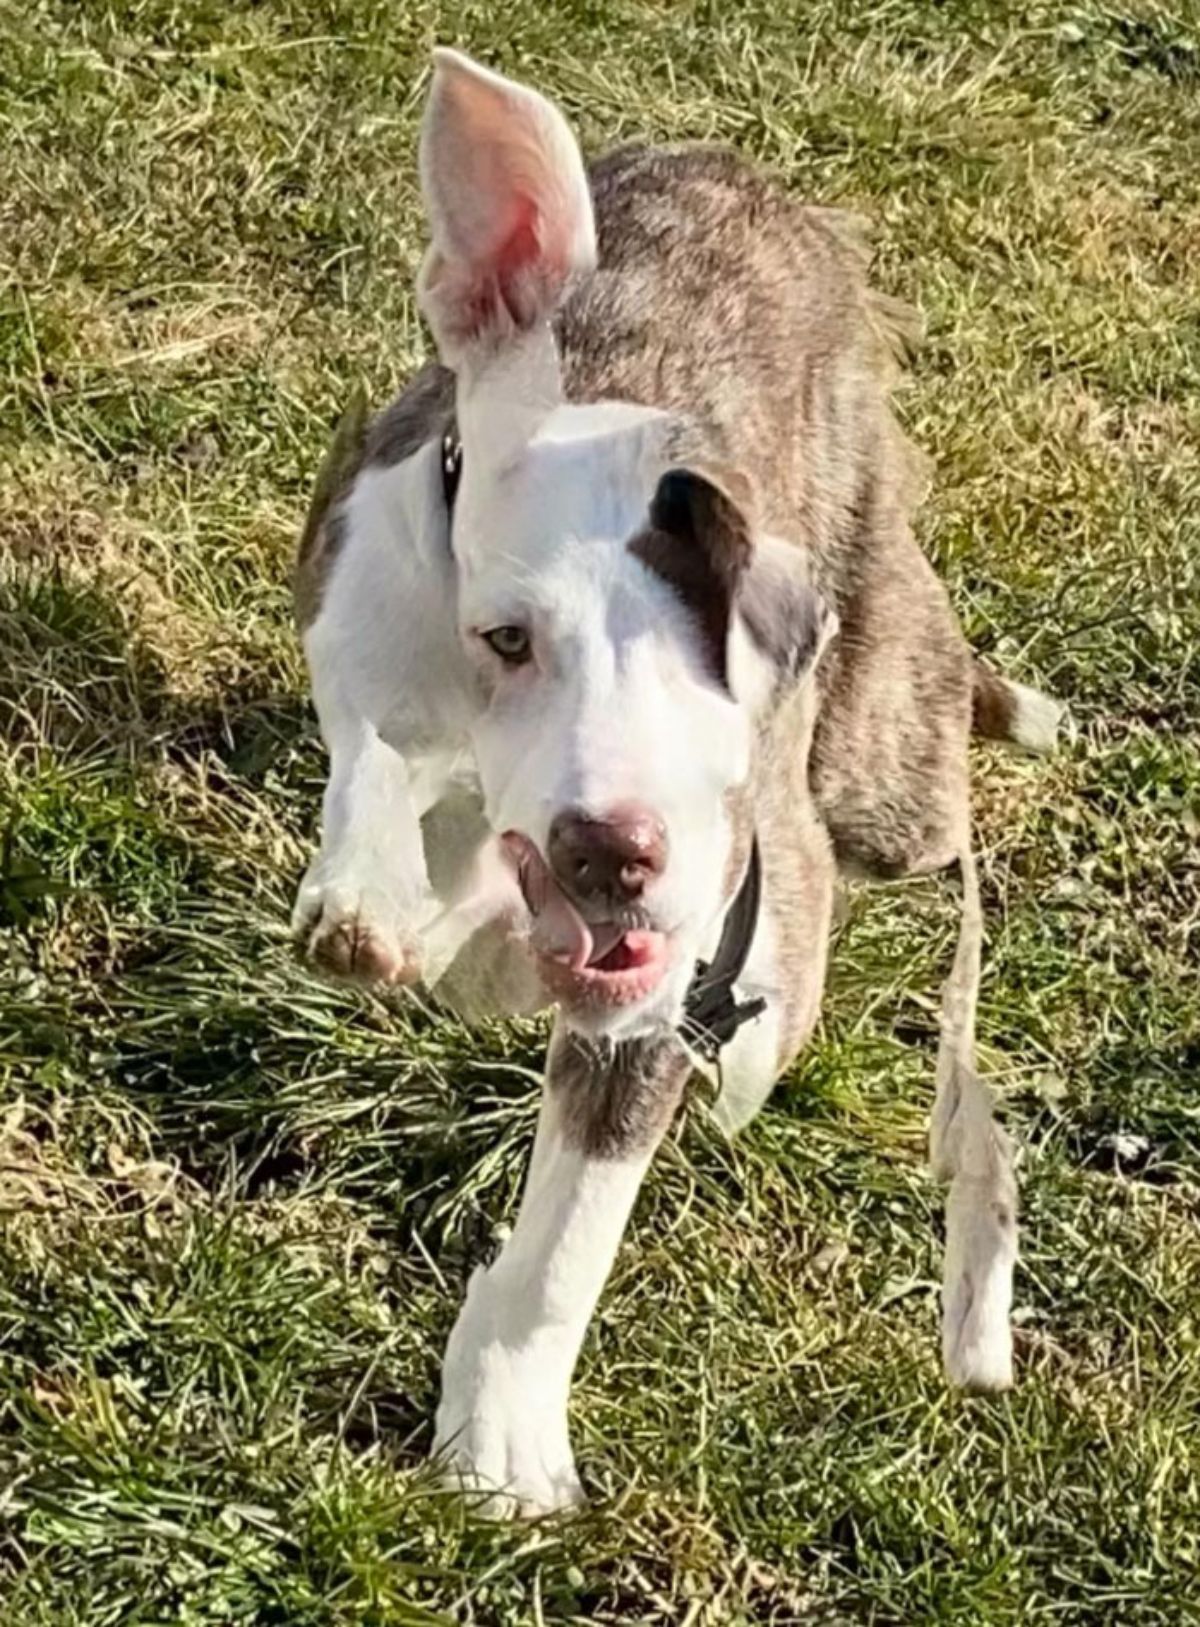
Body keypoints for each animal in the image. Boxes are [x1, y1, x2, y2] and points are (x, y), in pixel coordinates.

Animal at [292, 54, 1053, 1522]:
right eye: (509, 636)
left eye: (740, 651)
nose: (616, 849)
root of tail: (744, 173)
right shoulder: (368, 599)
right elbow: (377, 755)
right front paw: (378, 891)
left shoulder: (667, 988)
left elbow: (566, 1245)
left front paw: (505, 1430)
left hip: (885, 778)